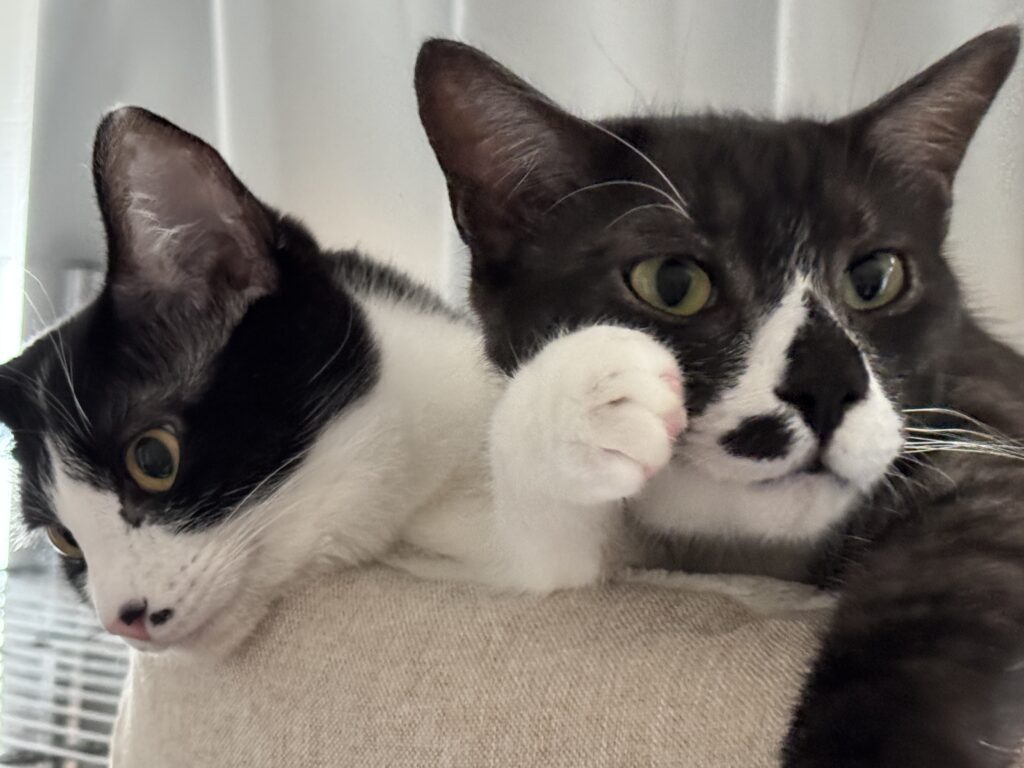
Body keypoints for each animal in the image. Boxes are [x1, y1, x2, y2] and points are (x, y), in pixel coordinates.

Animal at [415, 27, 1024, 768]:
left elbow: (967, 553)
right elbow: (540, 556)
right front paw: (582, 401)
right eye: (672, 282)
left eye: (875, 277)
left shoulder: (985, 417)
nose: (828, 383)